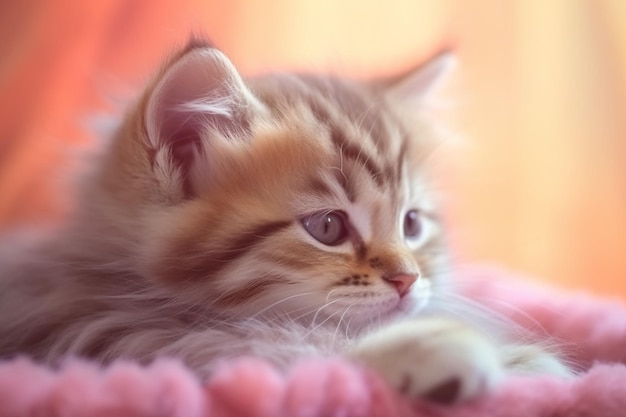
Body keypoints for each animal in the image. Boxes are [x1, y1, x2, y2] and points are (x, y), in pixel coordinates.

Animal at [0, 39, 572, 404]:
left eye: (412, 224)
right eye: (328, 228)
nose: (408, 279)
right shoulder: (101, 334)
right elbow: (279, 347)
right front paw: (441, 349)